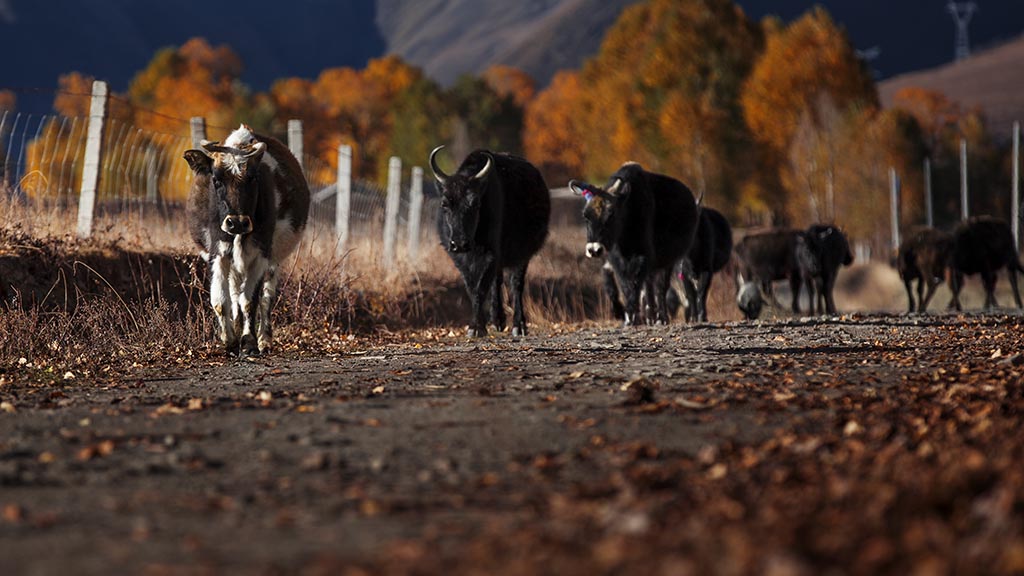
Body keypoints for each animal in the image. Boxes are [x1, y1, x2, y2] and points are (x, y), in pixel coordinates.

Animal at [182, 125, 307, 354]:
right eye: (216, 180)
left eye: (253, 178)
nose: (237, 223)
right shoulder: (218, 253)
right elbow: (220, 299)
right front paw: (229, 340)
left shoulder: (261, 255)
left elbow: (250, 299)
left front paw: (249, 342)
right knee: (234, 294)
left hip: (274, 260)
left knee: (266, 297)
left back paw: (264, 339)